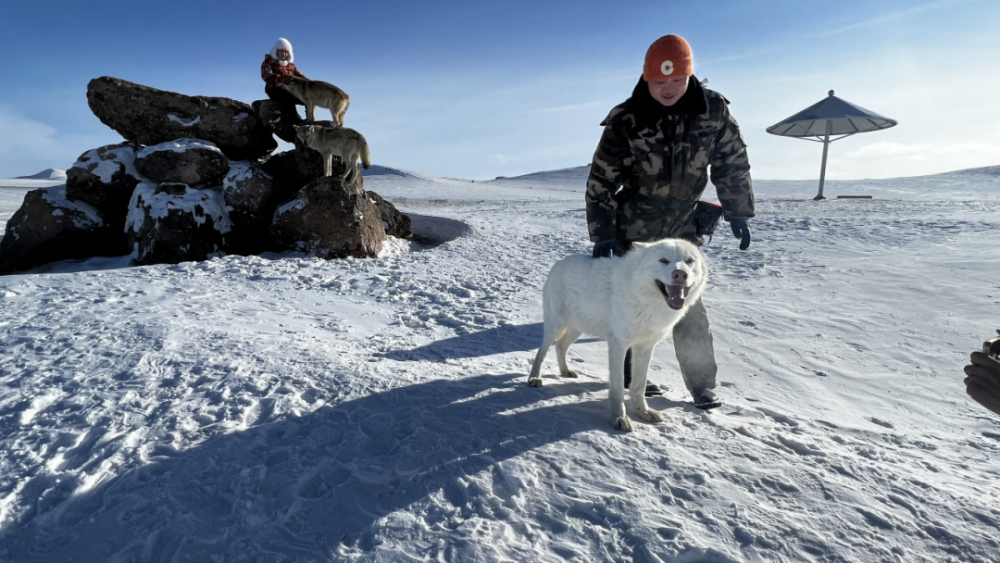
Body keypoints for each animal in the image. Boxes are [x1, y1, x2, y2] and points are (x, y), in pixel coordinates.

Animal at [528, 238, 708, 432]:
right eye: (663, 260)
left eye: (689, 261)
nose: (680, 274)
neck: (646, 300)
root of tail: (559, 262)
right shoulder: (618, 345)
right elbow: (618, 388)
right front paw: (619, 418)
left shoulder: (645, 347)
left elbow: (639, 386)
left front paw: (643, 412)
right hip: (555, 325)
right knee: (541, 351)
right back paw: (534, 378)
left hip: (577, 329)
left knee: (560, 346)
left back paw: (565, 371)